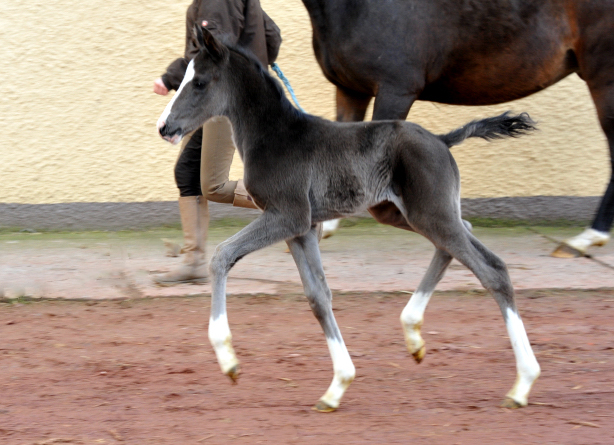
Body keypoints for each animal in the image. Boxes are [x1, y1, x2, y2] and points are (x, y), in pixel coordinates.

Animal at [156, 26, 540, 410]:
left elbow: (222, 255)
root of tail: (443, 140)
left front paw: (229, 360)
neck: (276, 135)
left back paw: (522, 383)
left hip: (430, 214)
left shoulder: (288, 216)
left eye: (200, 82)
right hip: (404, 213)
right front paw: (337, 385)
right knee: (467, 242)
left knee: (491, 270)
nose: (164, 127)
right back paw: (413, 332)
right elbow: (318, 295)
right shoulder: (302, 227)